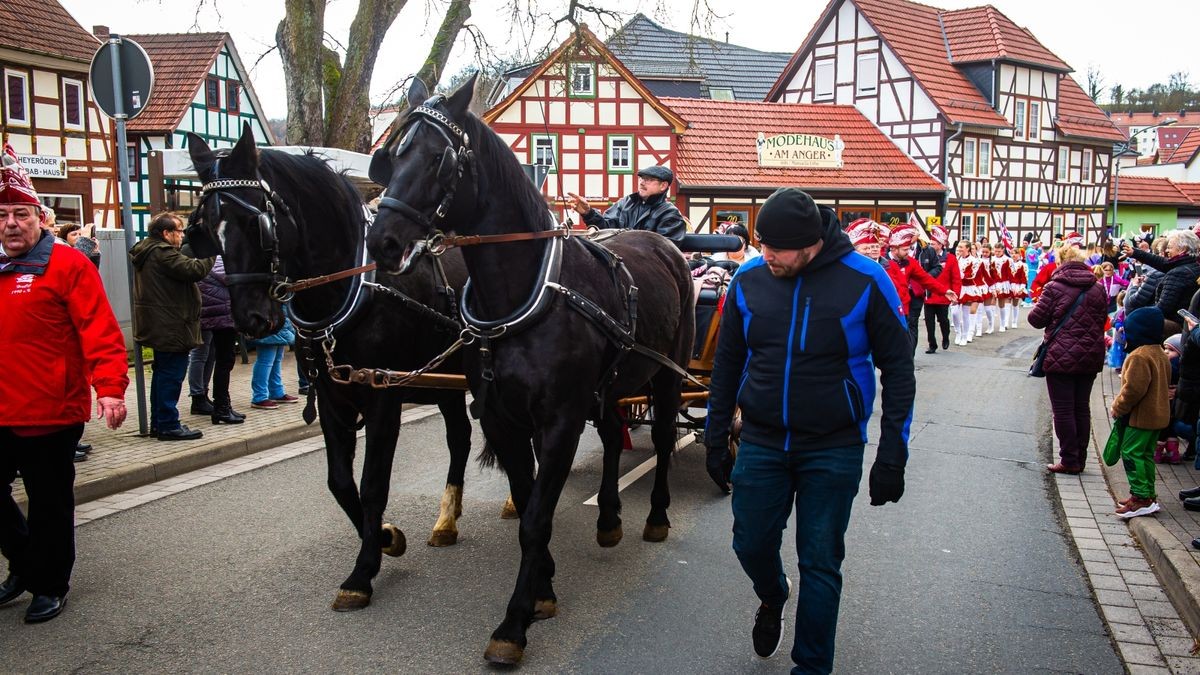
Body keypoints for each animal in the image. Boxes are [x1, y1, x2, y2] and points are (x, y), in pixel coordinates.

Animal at [182, 124, 472, 610]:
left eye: (257, 224)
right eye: (205, 229)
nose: (251, 320)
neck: (355, 290)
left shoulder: (383, 399)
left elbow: (373, 484)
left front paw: (363, 572)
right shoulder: (333, 398)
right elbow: (340, 483)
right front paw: (386, 538)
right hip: (446, 382)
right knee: (462, 438)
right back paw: (446, 520)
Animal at [364, 74, 696, 662]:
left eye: (438, 158)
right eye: (393, 154)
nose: (381, 241)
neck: (522, 295)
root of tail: (666, 245)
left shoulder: (559, 421)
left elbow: (537, 516)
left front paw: (514, 622)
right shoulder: (502, 418)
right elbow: (527, 498)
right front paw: (543, 587)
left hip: (668, 376)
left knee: (659, 441)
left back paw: (655, 517)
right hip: (612, 387)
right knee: (613, 435)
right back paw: (608, 518)